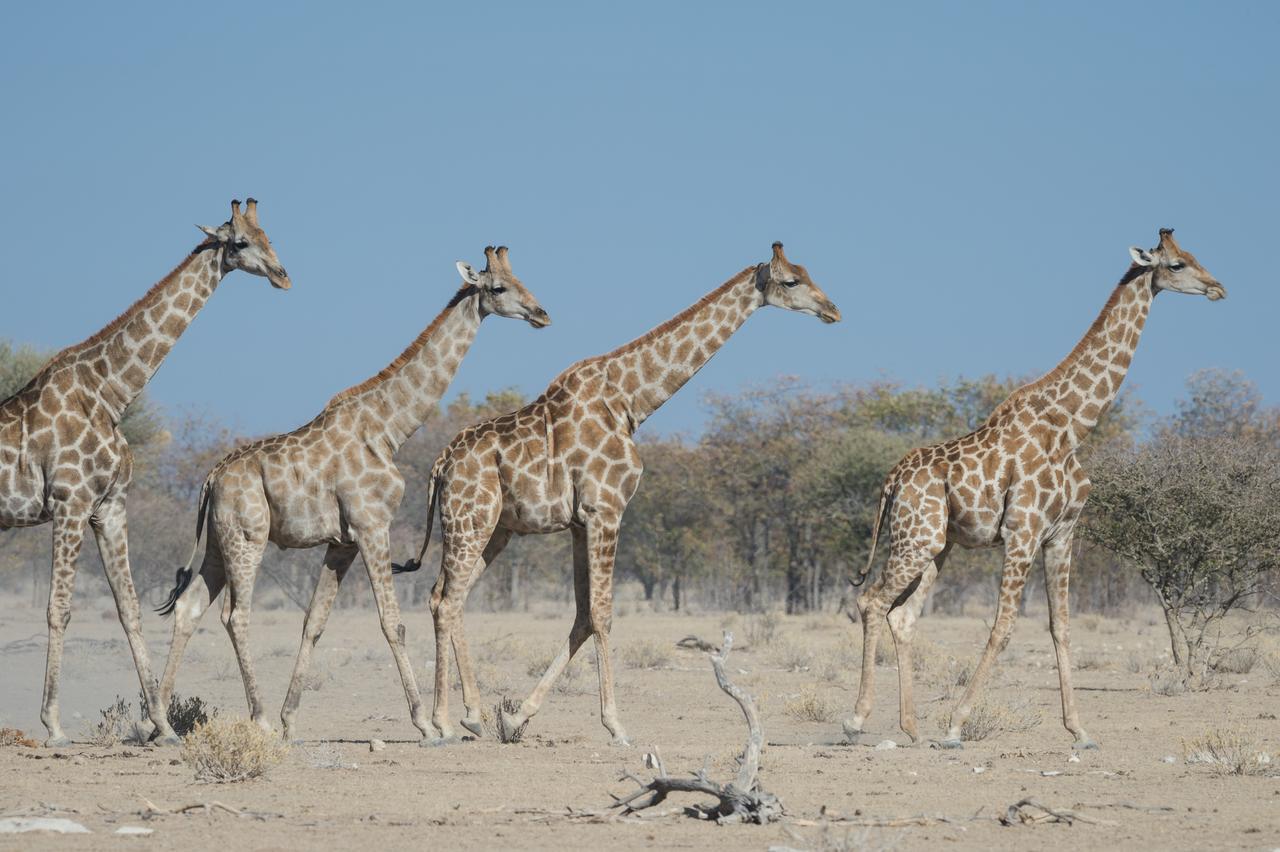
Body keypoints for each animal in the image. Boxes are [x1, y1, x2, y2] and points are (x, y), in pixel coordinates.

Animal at [0, 199, 290, 741]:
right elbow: (59, 608)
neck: (110, 392)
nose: (284, 276)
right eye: (241, 241)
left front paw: (162, 724)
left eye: (270, 237)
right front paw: (53, 724)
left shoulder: (109, 506)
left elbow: (130, 608)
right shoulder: (69, 502)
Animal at [153, 241, 545, 741]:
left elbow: (314, 623)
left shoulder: (341, 542)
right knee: (234, 615)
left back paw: (161, 722)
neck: (389, 428)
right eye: (498, 287)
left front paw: (291, 719)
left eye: (523, 281)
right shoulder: (372, 525)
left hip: (220, 544)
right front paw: (426, 724)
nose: (541, 313)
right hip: (247, 538)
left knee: (189, 607)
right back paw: (257, 718)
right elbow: (392, 623)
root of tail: (209, 480)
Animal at [394, 240, 844, 741]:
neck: (632, 401)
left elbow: (582, 617)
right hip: (470, 520)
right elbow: (603, 614)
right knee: (447, 599)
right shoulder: (607, 509)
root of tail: (439, 466)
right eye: (791, 281)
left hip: (495, 528)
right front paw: (616, 725)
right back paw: (444, 721)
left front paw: (516, 715)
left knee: (446, 597)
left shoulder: (578, 522)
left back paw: (470, 714)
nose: (833, 310)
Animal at [844, 228, 1223, 747]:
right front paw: (957, 725)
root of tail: (892, 479)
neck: (1071, 428)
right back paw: (857, 720)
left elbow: (1060, 627)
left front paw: (1080, 729)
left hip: (936, 545)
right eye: (1178, 264)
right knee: (871, 601)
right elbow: (1003, 628)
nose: (1217, 288)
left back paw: (911, 727)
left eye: (1195, 255)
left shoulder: (1061, 534)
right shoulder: (1022, 532)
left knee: (901, 616)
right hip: (915, 539)